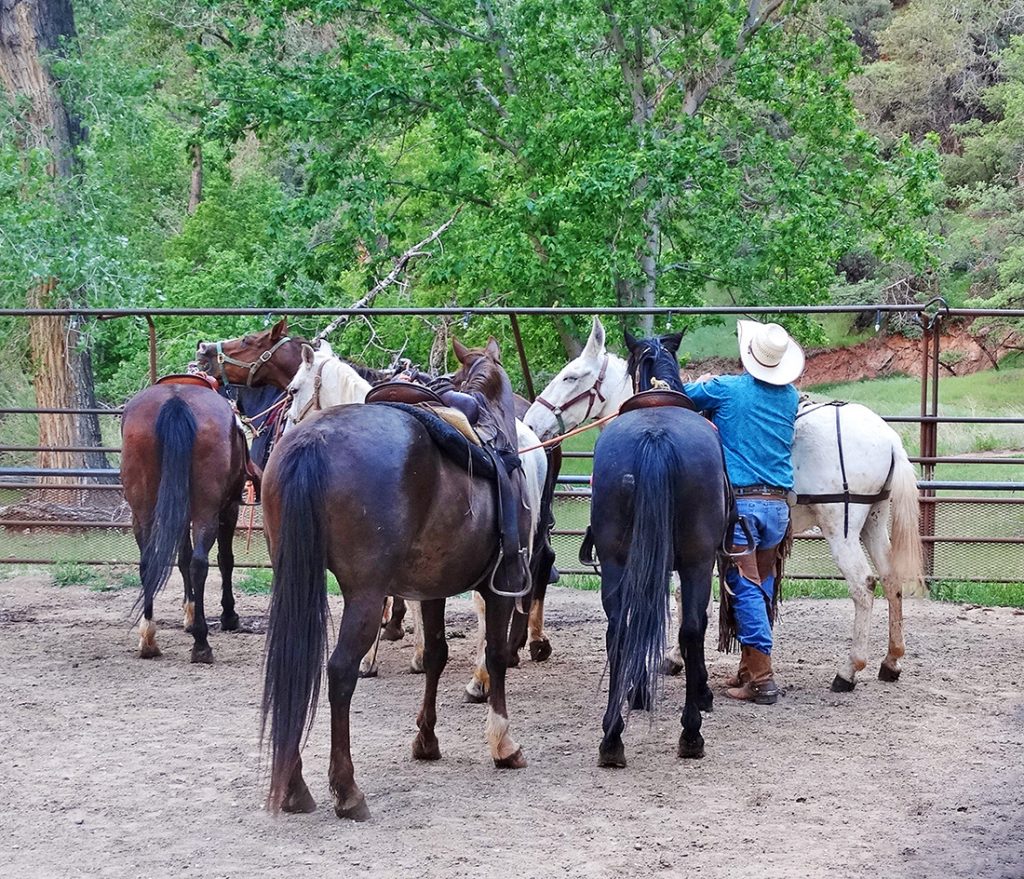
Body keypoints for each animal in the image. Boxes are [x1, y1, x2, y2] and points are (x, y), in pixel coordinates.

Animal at [120, 381, 253, 659]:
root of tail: (176, 401)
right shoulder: (229, 508)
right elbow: (225, 560)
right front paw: (228, 615)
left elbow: (182, 558)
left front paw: (189, 615)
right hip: (207, 510)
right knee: (200, 563)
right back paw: (201, 644)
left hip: (142, 510)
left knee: (148, 562)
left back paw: (148, 639)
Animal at [258, 336, 536, 815]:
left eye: (294, 389)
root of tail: (312, 440)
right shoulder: (498, 587)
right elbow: (497, 656)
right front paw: (503, 744)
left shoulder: (432, 589)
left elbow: (437, 655)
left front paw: (426, 740)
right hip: (365, 595)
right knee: (340, 672)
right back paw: (347, 790)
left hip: (295, 581)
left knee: (296, 664)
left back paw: (295, 787)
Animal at [524, 315, 925, 692]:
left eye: (571, 376)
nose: (532, 421)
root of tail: (888, 437)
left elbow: (681, 594)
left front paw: (673, 659)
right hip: (874, 520)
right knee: (891, 580)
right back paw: (891, 661)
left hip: (840, 528)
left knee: (864, 585)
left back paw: (848, 670)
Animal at [593, 331, 729, 762]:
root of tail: (655, 437)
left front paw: (637, 693)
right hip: (698, 562)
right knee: (691, 630)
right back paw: (691, 732)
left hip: (616, 562)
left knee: (619, 631)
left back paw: (612, 737)